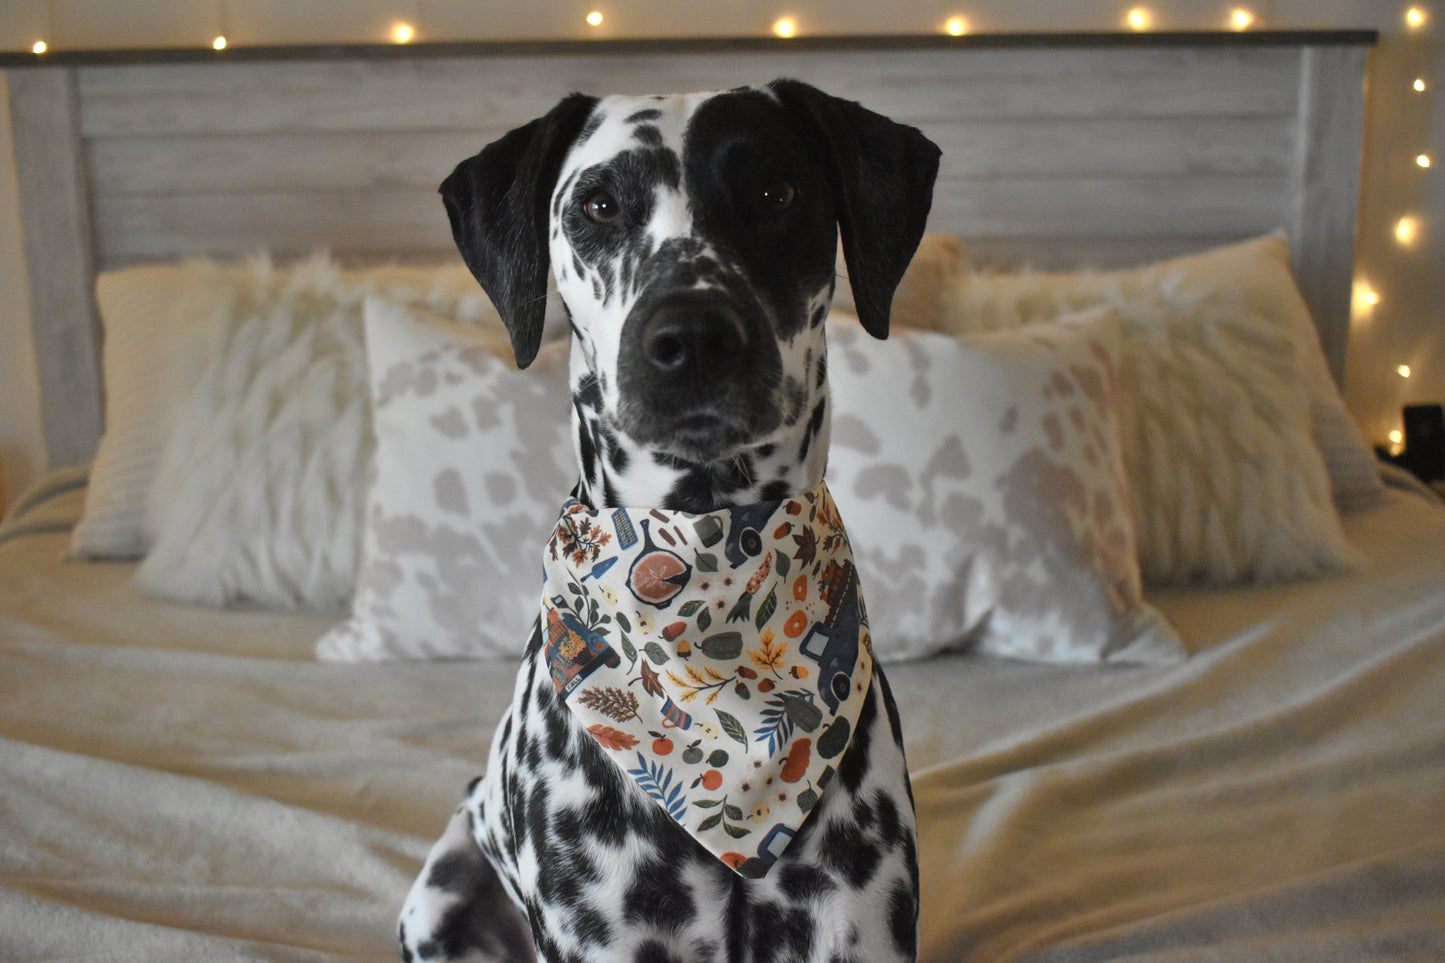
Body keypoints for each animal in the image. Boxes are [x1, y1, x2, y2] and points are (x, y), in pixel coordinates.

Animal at [395, 80, 942, 960]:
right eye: (598, 203)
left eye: (774, 192)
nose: (691, 335)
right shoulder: (606, 930)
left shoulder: (854, 922)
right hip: (438, 895)